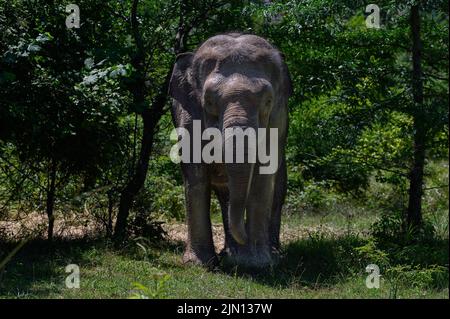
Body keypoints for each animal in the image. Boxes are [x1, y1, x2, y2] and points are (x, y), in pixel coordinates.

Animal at [169, 32, 292, 268]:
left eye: (268, 101)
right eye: (208, 101)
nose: (244, 236)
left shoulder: (277, 120)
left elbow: (263, 178)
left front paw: (259, 263)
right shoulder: (188, 115)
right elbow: (195, 176)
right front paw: (199, 264)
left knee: (276, 189)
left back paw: (268, 253)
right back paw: (231, 253)